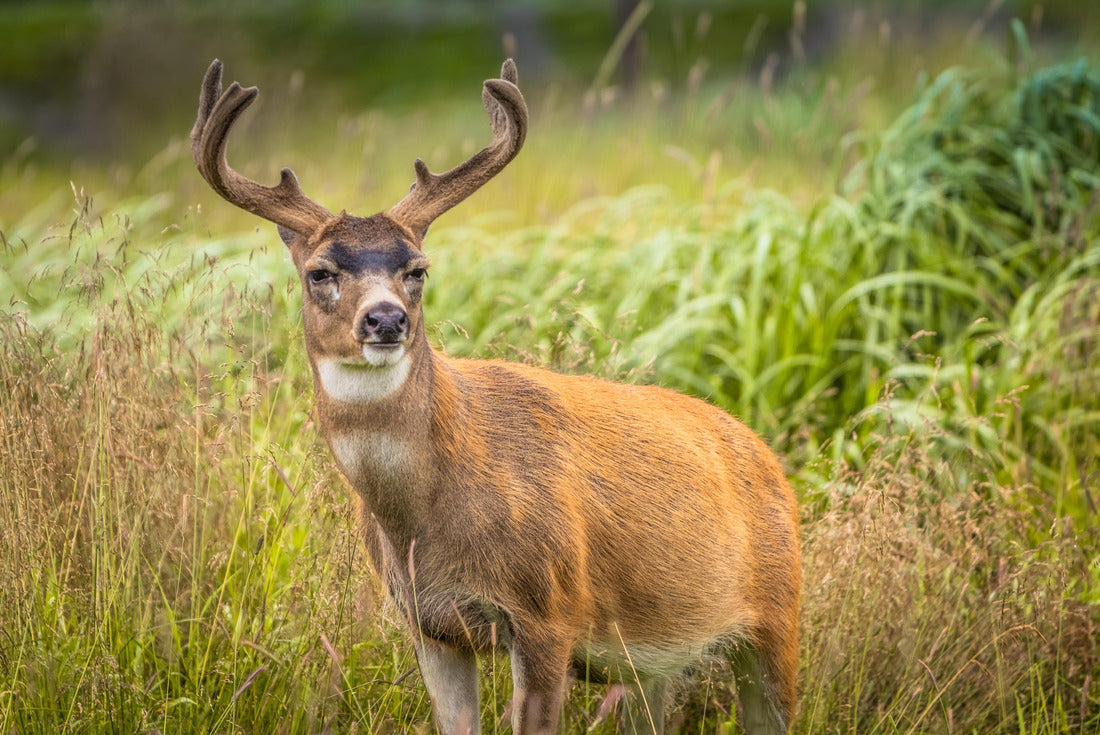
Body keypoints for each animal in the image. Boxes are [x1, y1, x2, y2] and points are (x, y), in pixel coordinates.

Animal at [191, 58, 801, 735]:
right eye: (319, 271)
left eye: (418, 268)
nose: (386, 319)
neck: (428, 512)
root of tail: (764, 454)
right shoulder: (430, 627)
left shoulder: (547, 612)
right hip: (651, 666)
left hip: (778, 621)